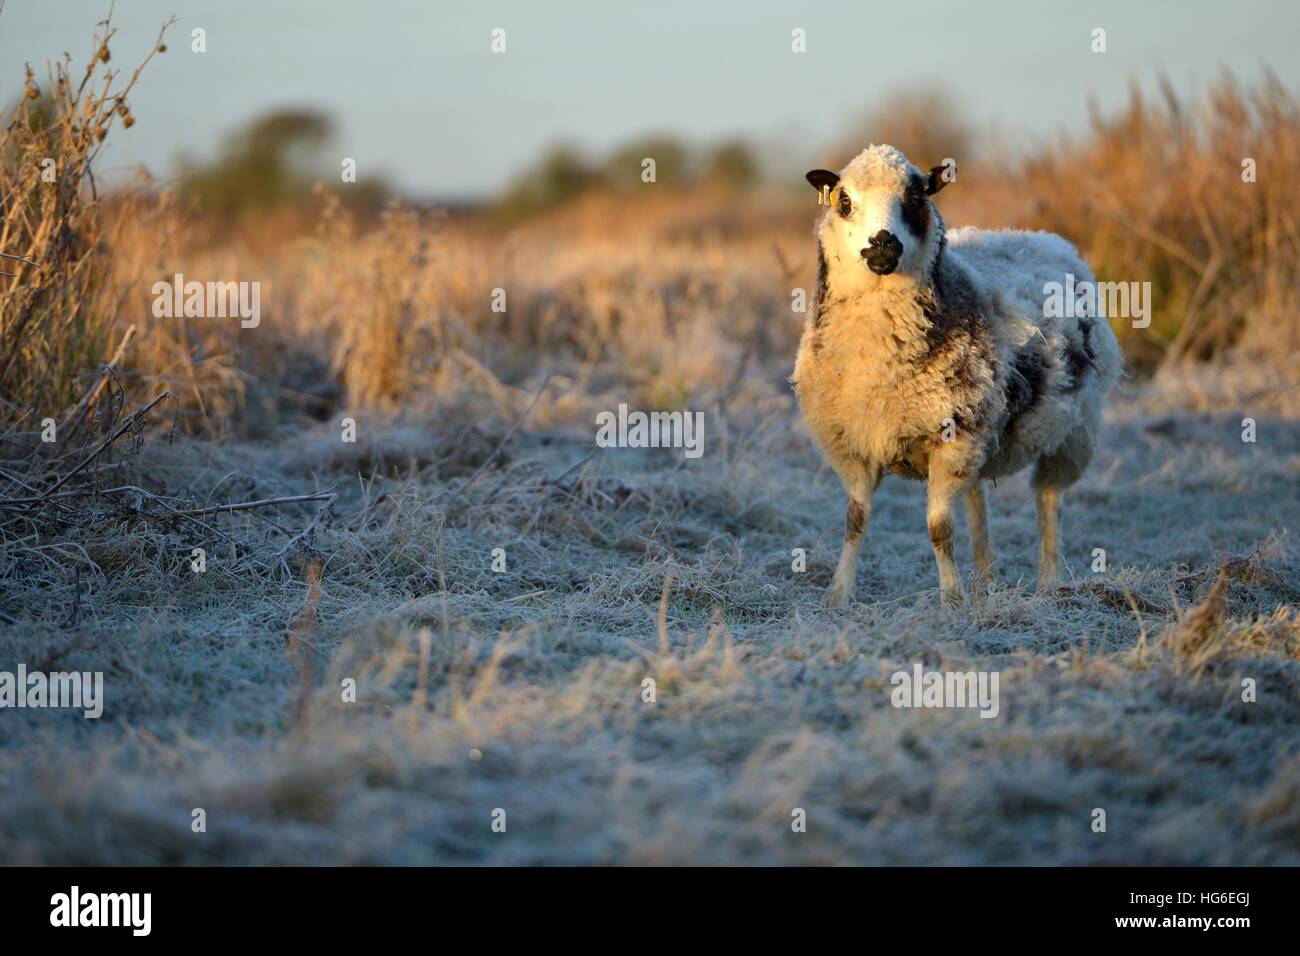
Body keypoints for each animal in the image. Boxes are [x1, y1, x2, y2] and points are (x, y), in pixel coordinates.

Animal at [785, 141, 1123, 606]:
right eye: (845, 201)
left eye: (916, 197)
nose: (883, 244)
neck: (880, 367)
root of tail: (1043, 238)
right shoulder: (851, 445)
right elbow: (855, 520)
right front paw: (837, 596)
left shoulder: (953, 441)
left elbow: (939, 529)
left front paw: (951, 601)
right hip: (982, 434)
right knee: (977, 500)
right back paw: (985, 581)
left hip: (1074, 431)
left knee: (1048, 500)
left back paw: (1048, 584)